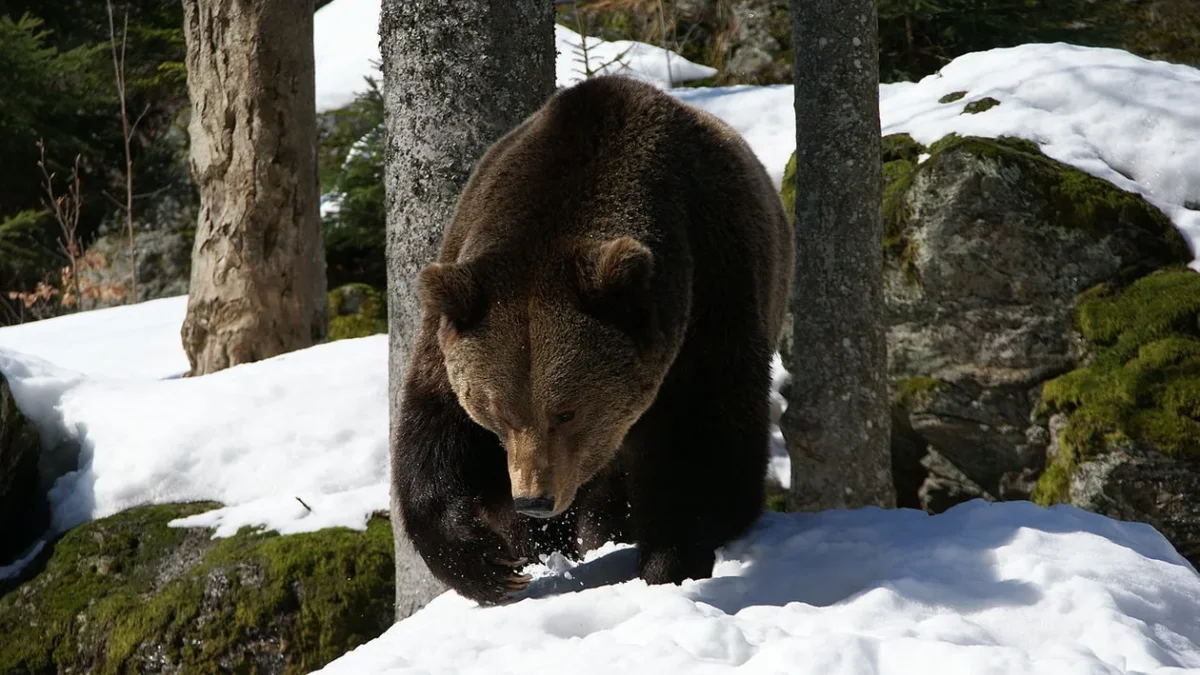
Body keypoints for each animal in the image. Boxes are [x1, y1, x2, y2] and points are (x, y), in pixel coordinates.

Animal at [388, 74, 792, 605]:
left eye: (567, 412)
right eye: (498, 412)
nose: (535, 499)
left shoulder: (712, 295)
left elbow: (706, 445)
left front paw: (669, 560)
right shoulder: (459, 302)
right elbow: (434, 434)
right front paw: (490, 561)